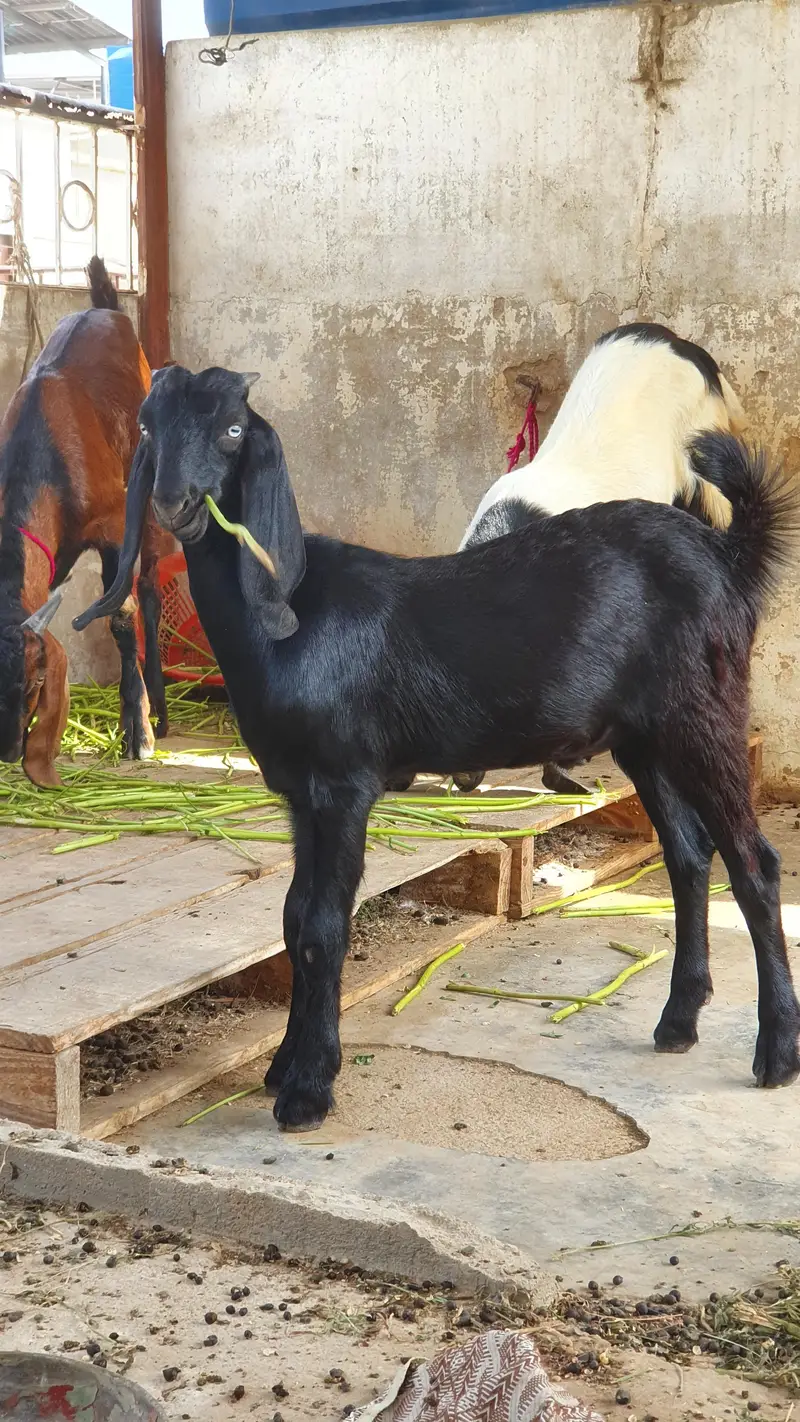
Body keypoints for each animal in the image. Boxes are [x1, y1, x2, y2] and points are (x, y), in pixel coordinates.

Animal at [0, 257, 171, 787]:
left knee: (152, 593)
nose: (8, 752)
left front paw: (137, 729)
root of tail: (104, 305)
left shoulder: (114, 526)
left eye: (37, 677)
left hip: (149, 501)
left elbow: (121, 615)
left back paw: (160, 709)